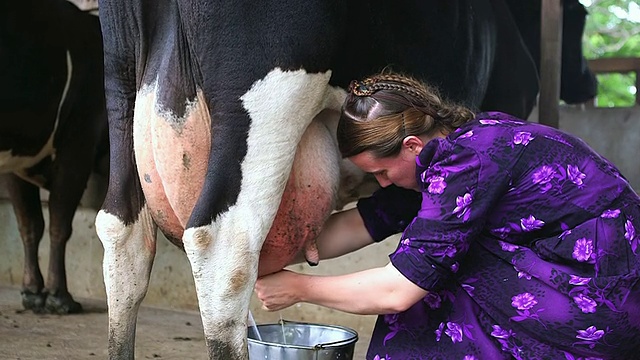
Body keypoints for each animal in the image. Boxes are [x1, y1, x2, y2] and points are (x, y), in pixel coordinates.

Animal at [0, 0, 107, 316]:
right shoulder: (78, 144)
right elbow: (59, 223)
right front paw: (60, 297)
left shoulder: (18, 157)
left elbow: (30, 224)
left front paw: (33, 292)